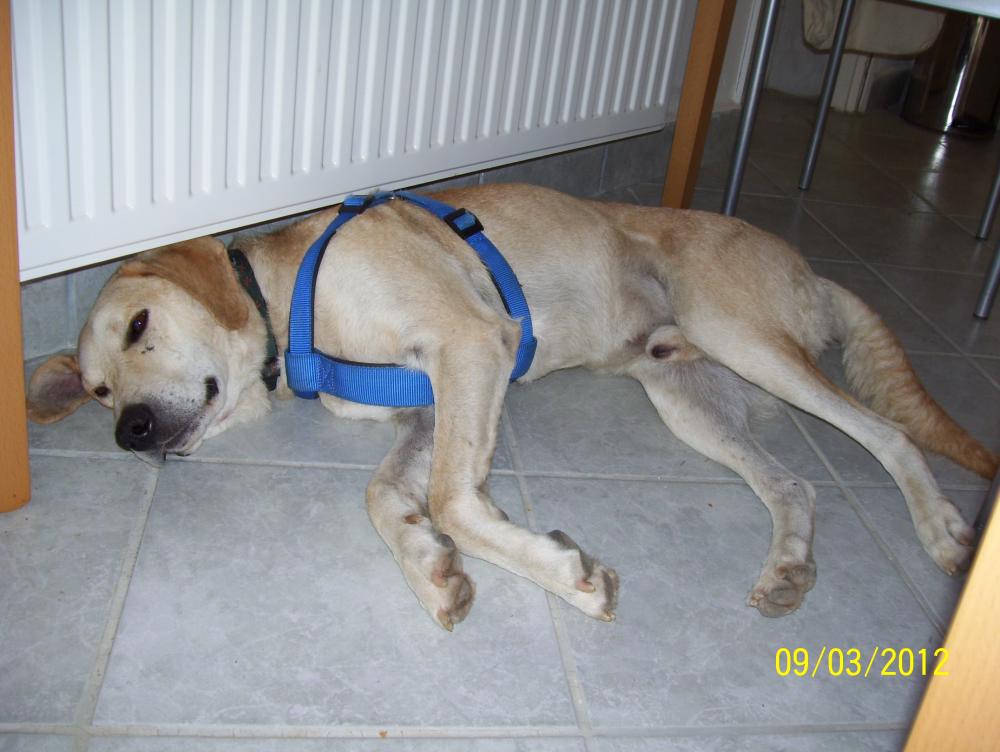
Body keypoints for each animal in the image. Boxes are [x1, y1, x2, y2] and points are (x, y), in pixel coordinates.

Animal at [27, 183, 998, 630]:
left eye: (141, 325)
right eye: (98, 390)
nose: (129, 432)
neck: (288, 300)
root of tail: (811, 270)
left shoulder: (469, 345)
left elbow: (456, 500)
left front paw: (560, 572)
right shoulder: (427, 405)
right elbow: (389, 496)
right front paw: (430, 564)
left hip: (743, 335)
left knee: (887, 435)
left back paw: (942, 531)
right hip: (690, 396)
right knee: (795, 486)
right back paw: (791, 565)